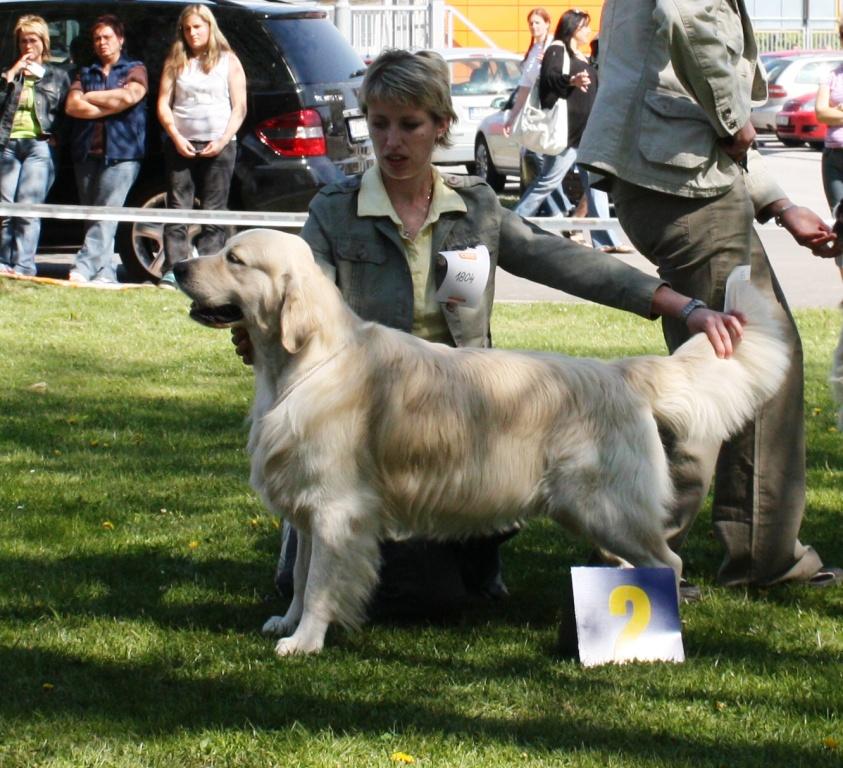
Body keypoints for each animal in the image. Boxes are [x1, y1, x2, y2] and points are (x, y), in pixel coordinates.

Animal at [173, 228, 792, 656]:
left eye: (234, 259)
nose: (177, 265)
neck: (303, 365)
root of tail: (621, 372)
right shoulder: (306, 508)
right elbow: (301, 577)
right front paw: (287, 620)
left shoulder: (336, 509)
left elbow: (323, 582)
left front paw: (304, 641)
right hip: (595, 511)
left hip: (606, 505)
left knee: (669, 559)